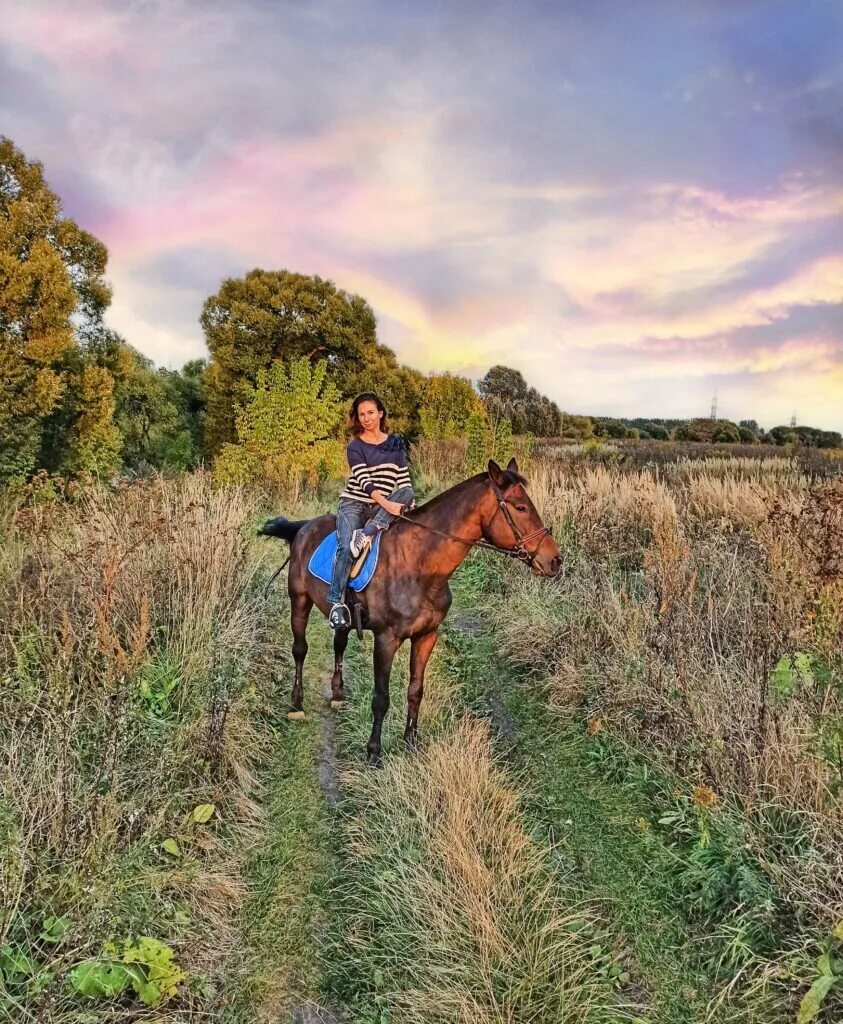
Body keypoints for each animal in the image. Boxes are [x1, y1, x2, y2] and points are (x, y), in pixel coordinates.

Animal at [259, 456, 561, 761]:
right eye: (521, 507)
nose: (555, 560)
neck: (420, 566)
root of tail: (304, 527)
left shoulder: (427, 636)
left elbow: (416, 690)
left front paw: (411, 743)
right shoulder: (386, 639)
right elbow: (381, 698)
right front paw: (374, 752)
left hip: (342, 616)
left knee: (339, 644)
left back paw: (338, 696)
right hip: (299, 600)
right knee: (300, 649)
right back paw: (296, 706)